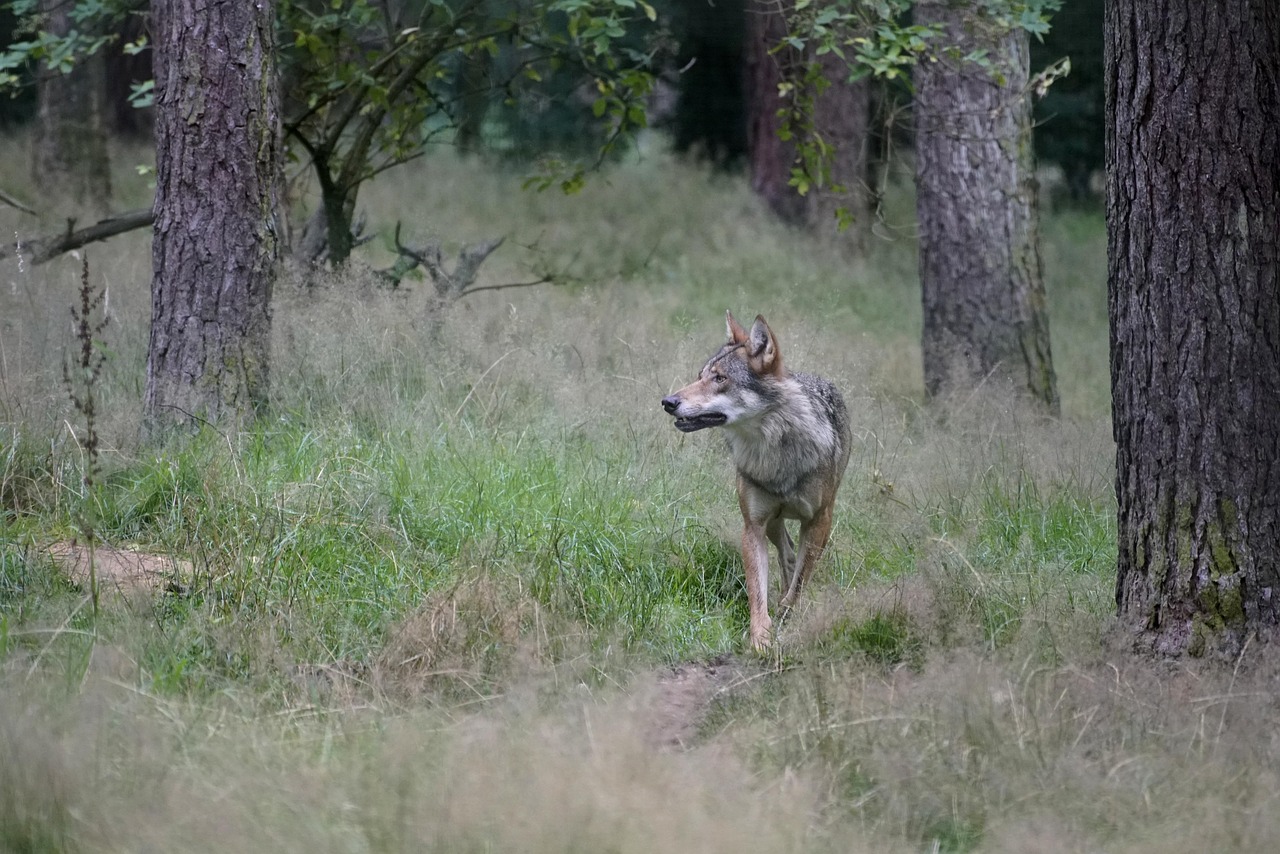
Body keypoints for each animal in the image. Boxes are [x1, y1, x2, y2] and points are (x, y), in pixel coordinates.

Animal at [661, 311, 851, 651]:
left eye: (720, 379)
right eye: (700, 375)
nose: (668, 401)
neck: (774, 452)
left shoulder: (820, 520)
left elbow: (801, 582)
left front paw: (788, 618)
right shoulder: (753, 525)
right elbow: (756, 590)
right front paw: (760, 637)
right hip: (774, 522)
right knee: (787, 553)